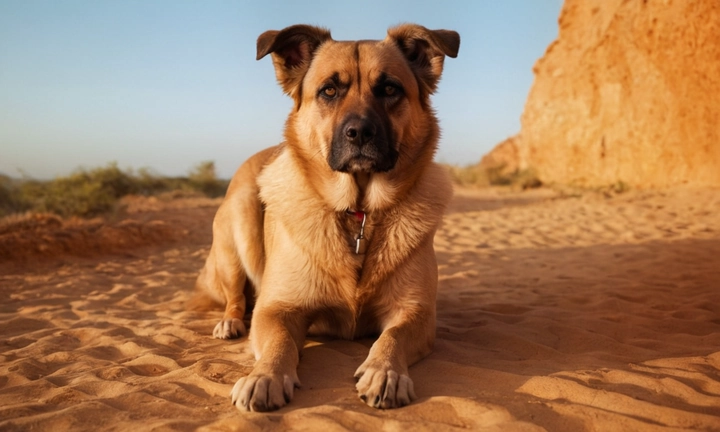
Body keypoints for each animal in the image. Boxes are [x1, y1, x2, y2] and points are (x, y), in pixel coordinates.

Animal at [194, 24, 458, 412]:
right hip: (239, 224)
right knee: (235, 297)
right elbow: (279, 343)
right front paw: (265, 376)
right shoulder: (276, 310)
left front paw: (385, 371)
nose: (360, 133)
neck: (358, 211)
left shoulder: (417, 313)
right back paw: (229, 322)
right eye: (329, 91)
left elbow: (393, 335)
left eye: (390, 89)